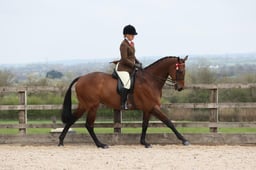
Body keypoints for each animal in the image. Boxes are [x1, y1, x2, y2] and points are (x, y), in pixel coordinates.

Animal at [59, 55, 189, 147]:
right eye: (180, 71)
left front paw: (144, 142)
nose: (180, 87)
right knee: (88, 124)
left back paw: (61, 141)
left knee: (73, 121)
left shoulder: (148, 109)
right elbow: (169, 122)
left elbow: (145, 125)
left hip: (85, 105)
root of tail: (81, 78)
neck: (150, 80)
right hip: (91, 105)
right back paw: (100, 145)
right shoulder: (153, 107)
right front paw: (184, 140)